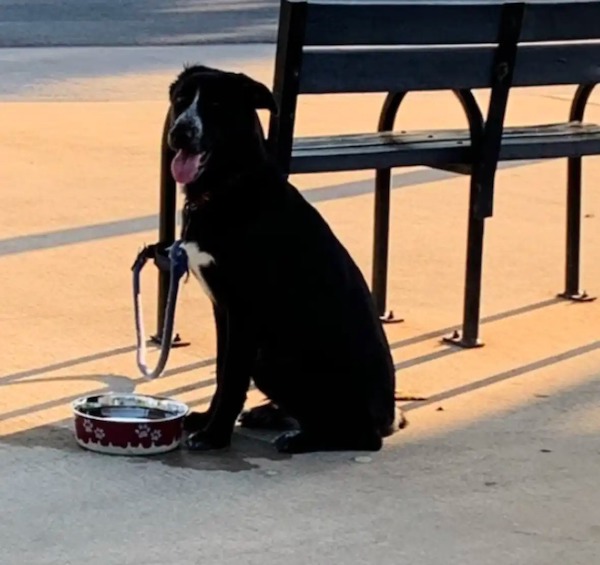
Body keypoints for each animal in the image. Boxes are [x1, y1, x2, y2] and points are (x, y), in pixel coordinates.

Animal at [166, 65, 406, 454]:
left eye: (216, 104)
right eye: (181, 99)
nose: (180, 133)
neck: (230, 185)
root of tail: (389, 417)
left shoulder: (245, 313)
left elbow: (232, 378)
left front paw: (215, 436)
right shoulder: (224, 311)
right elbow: (221, 371)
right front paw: (208, 420)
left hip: (272, 359)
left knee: (361, 437)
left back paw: (301, 438)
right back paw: (272, 415)